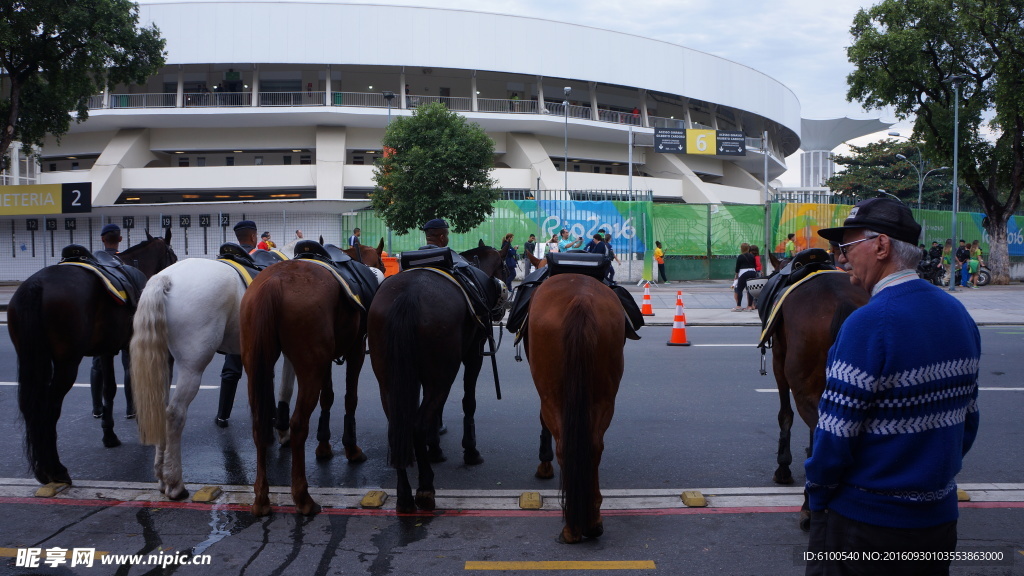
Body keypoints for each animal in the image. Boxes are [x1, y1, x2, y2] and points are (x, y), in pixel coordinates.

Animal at [8, 228, 176, 483]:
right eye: (173, 256)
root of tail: (36, 284)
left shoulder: (106, 350)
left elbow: (109, 389)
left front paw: (109, 434)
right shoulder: (131, 347)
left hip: (33, 361)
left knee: (31, 408)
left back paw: (41, 469)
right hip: (67, 364)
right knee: (49, 408)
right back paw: (55, 468)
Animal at [240, 251, 385, 516]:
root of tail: (274, 282)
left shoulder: (325, 360)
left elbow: (328, 397)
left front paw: (324, 446)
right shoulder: (356, 349)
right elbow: (350, 398)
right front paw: (351, 448)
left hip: (257, 366)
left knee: (259, 425)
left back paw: (261, 498)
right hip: (309, 369)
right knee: (298, 424)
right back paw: (303, 497)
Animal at [370, 241, 509, 510]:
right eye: (506, 267)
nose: (502, 310)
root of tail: (407, 296)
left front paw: (433, 447)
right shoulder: (472, 355)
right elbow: (468, 402)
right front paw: (469, 450)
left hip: (389, 380)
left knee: (398, 426)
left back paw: (404, 493)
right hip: (442, 373)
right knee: (417, 424)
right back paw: (425, 487)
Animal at [528, 270, 622, 541]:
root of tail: (580, 301)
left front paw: (544, 465)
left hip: (551, 394)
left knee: (563, 445)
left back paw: (572, 527)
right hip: (604, 396)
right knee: (594, 446)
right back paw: (592, 520)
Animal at [765, 251, 868, 528]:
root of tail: (842, 300)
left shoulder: (779, 359)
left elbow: (785, 415)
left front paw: (783, 468)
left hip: (803, 385)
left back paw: (810, 507)